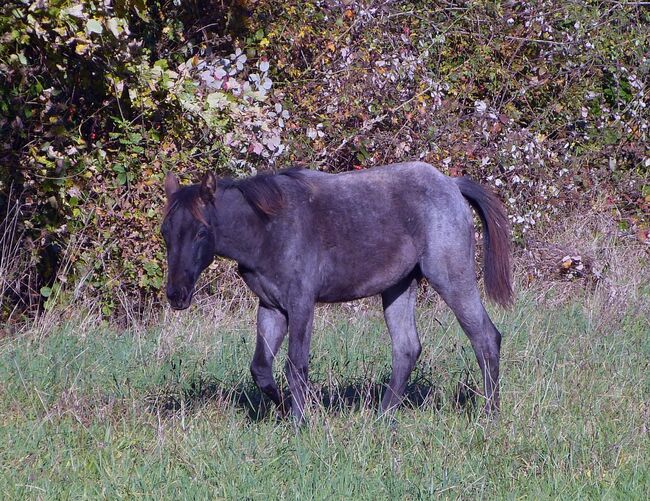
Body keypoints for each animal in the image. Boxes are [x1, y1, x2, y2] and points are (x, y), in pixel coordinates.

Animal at [161, 162, 512, 420]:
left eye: (201, 232)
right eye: (166, 232)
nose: (177, 295)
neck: (267, 229)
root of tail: (452, 184)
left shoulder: (301, 303)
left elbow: (296, 364)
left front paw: (300, 423)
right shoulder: (271, 306)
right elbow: (261, 369)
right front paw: (284, 410)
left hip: (451, 277)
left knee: (485, 337)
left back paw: (490, 416)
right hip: (398, 287)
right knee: (407, 349)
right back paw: (383, 417)